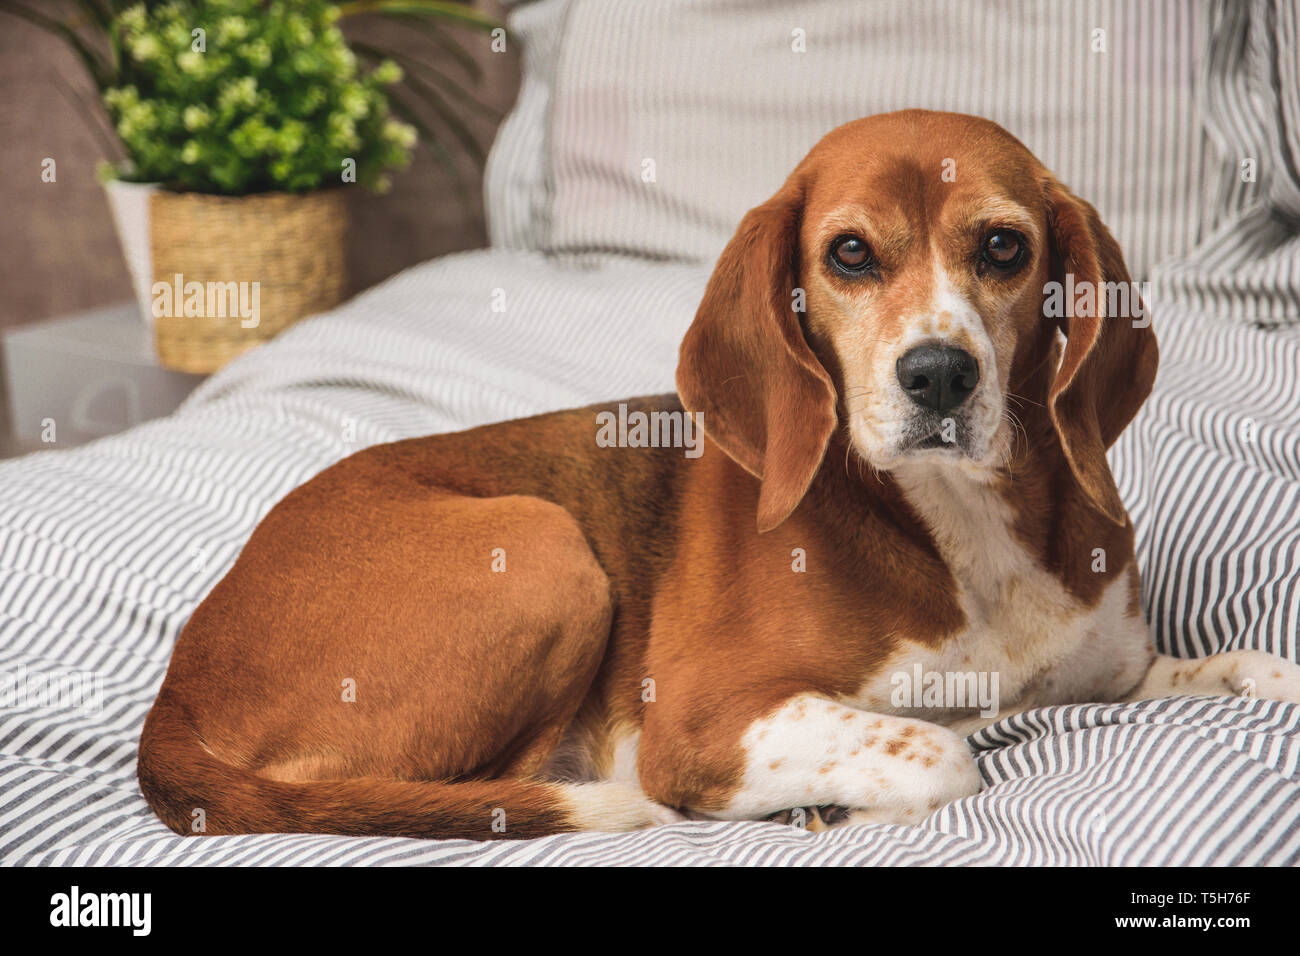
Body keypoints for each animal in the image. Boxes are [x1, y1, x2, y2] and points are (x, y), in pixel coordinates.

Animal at [137, 111, 1300, 837]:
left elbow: (1229, 668)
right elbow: (940, 750)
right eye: (849, 254)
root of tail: (178, 688)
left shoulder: (1113, 674)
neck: (963, 525)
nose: (937, 373)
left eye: (1005, 247)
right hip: (545, 554)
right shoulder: (704, 721)